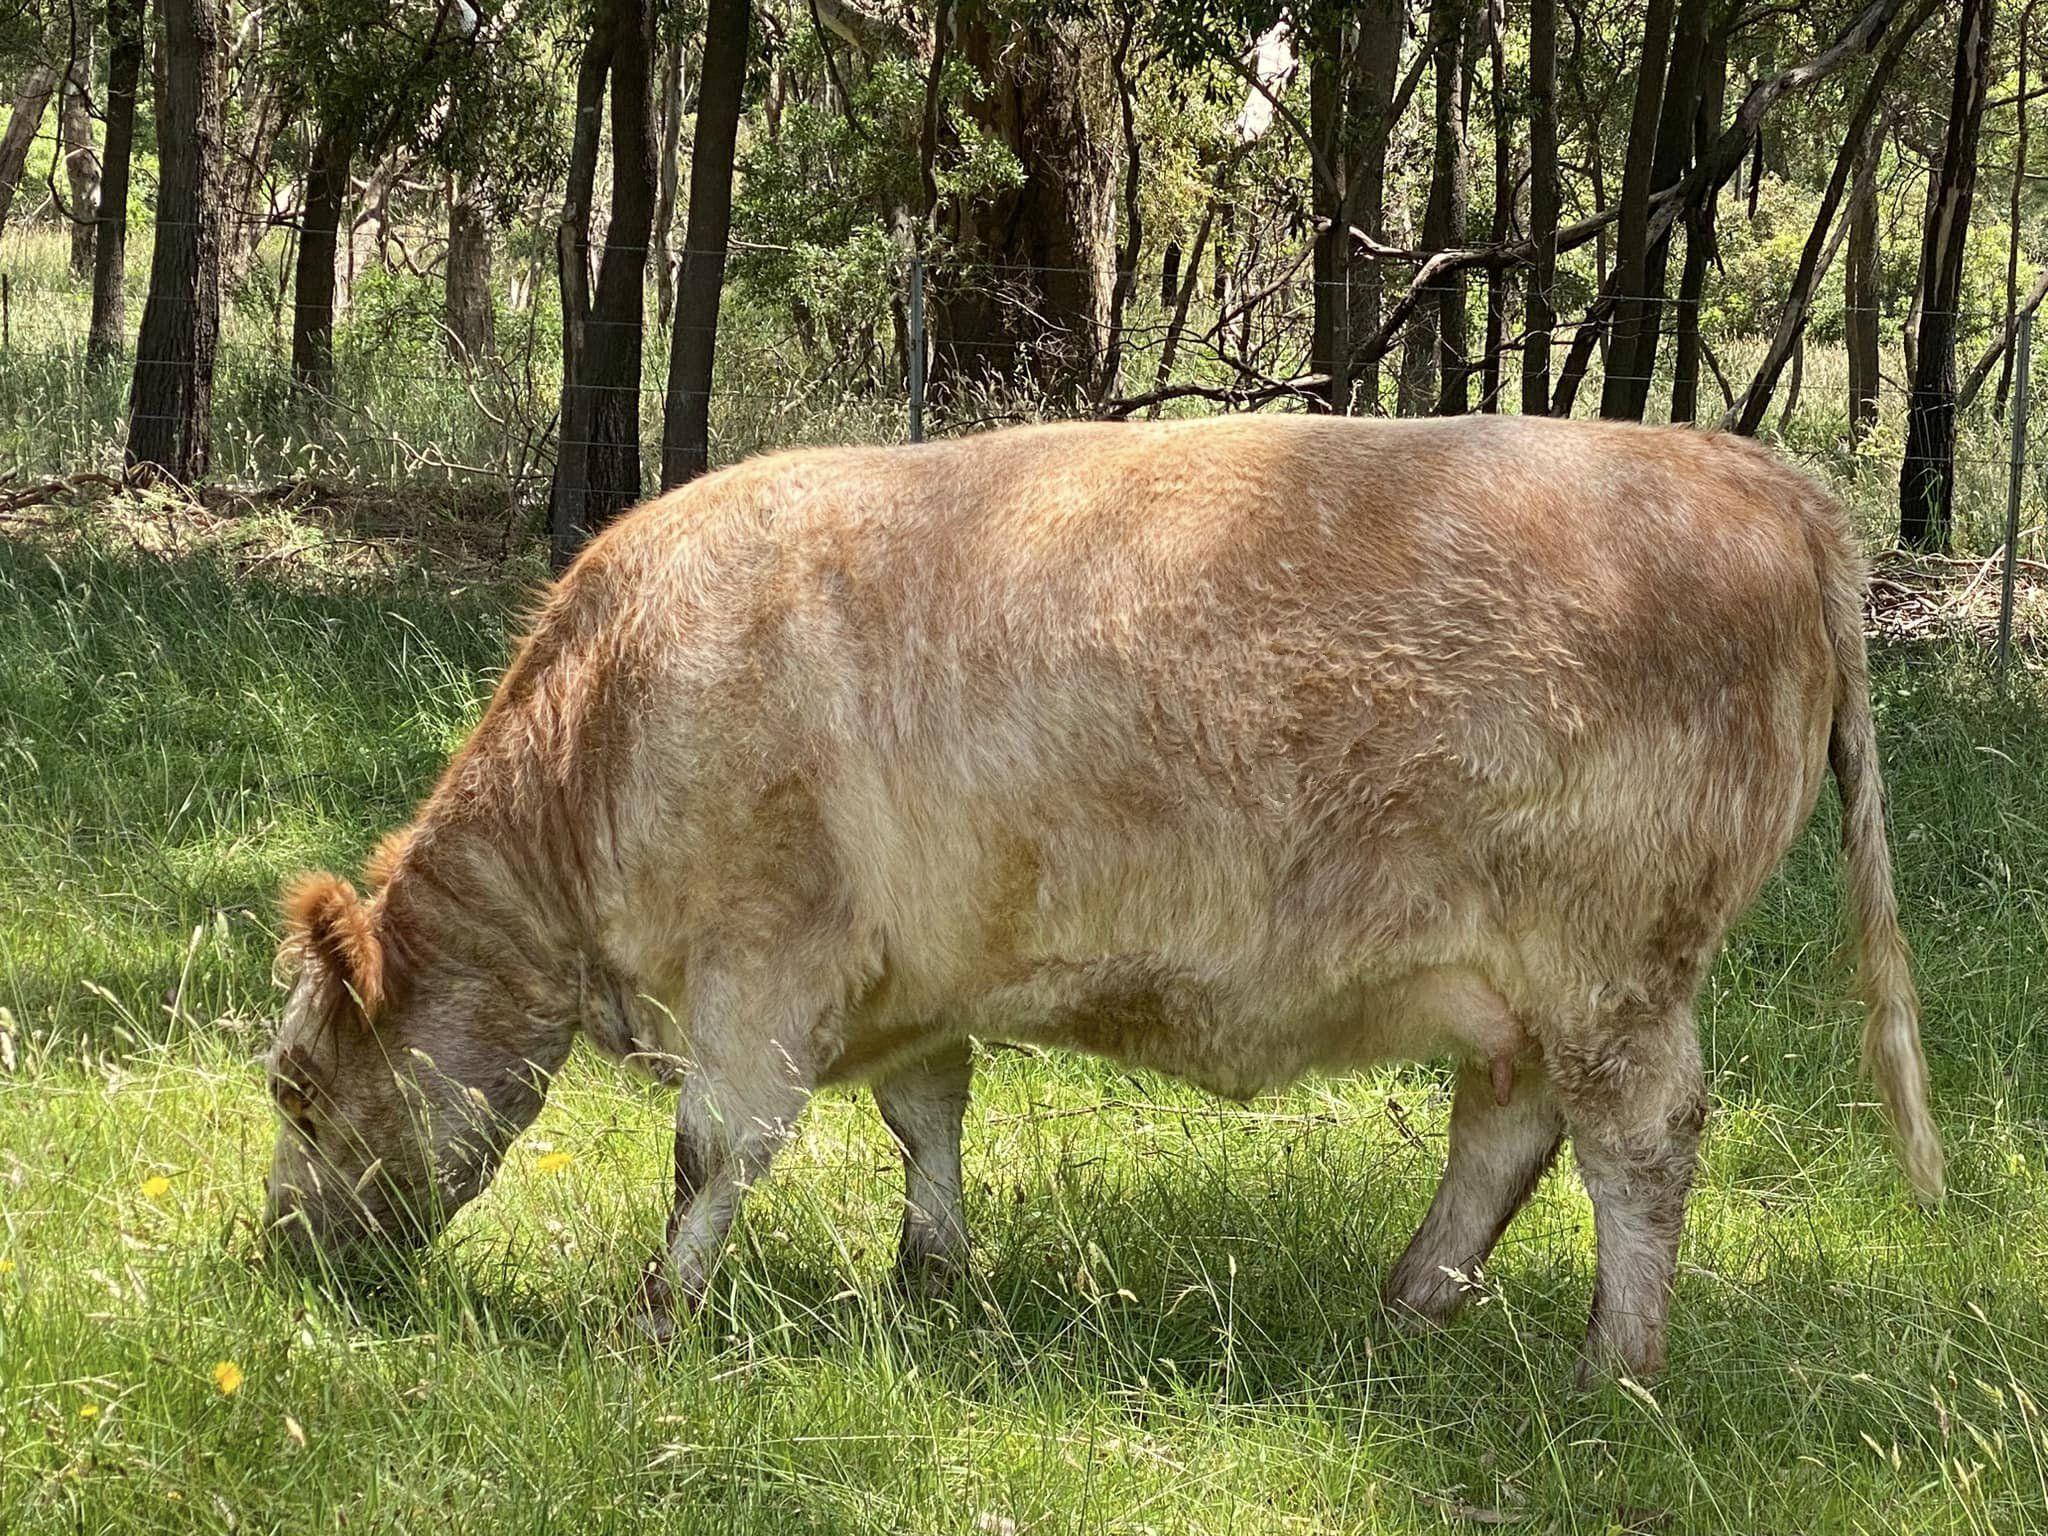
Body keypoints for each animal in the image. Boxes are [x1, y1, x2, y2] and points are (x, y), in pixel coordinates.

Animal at [263, 413, 1942, 1383]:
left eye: (291, 1085)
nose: (279, 1253)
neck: (605, 719)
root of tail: (1770, 479)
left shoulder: (765, 954)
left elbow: (713, 1150)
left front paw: (656, 1321)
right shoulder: (908, 970)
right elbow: (927, 1112)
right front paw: (931, 1276)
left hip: (1614, 962)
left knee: (1638, 1145)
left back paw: (1615, 1371)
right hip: (1529, 983)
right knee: (1507, 1129)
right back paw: (1409, 1304)